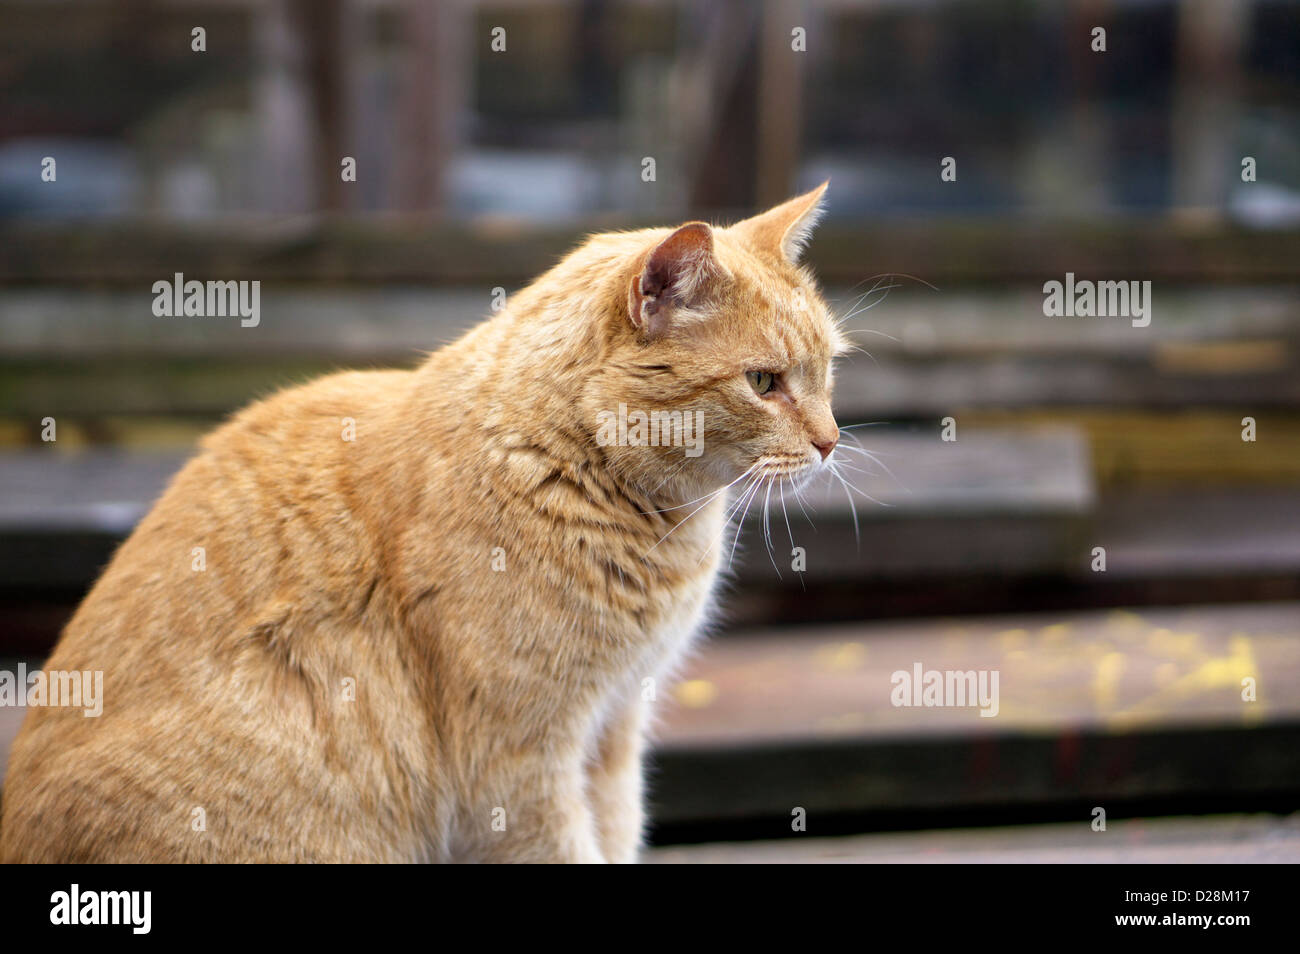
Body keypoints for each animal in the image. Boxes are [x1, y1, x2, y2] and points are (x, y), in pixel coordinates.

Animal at [0, 187, 842, 868]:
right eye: (763, 382)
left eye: (828, 371)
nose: (832, 441)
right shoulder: (518, 767)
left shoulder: (614, 733)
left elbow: (616, 835)